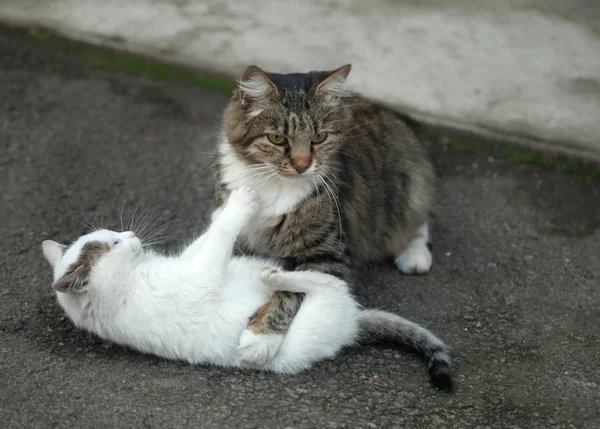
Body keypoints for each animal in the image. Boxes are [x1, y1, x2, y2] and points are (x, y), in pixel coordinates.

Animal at [42, 186, 452, 390]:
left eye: (113, 233)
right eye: (113, 244)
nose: (130, 235)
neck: (129, 282)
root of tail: (354, 321)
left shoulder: (192, 259)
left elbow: (209, 235)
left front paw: (222, 210)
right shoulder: (202, 276)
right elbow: (222, 236)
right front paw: (240, 202)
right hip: (316, 314)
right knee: (328, 284)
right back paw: (276, 277)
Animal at [214, 64, 436, 364]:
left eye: (318, 138)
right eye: (277, 139)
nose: (302, 165)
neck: (275, 185)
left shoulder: (328, 255)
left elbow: (291, 290)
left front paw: (261, 337)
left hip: (409, 189)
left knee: (419, 220)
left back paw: (415, 255)